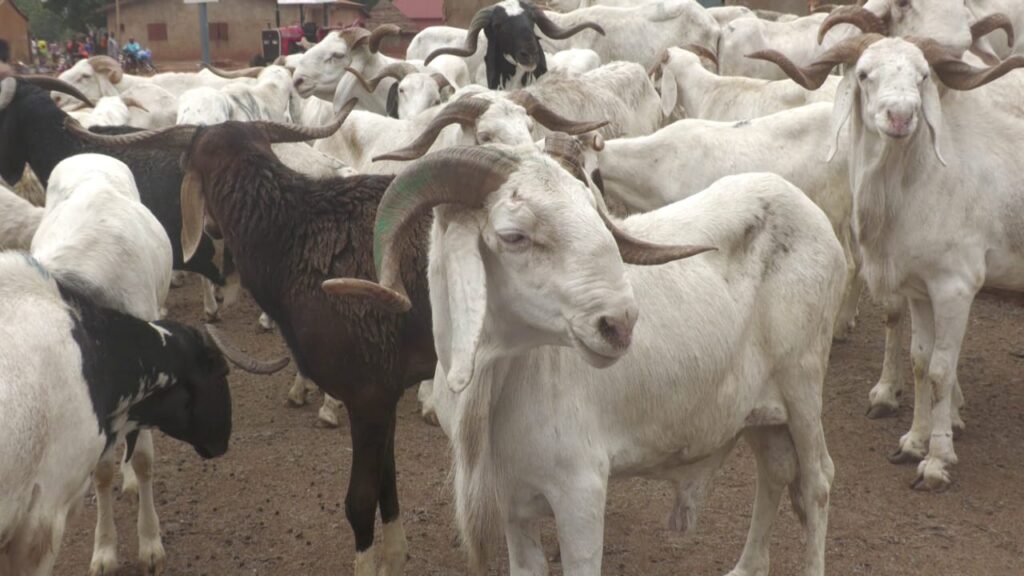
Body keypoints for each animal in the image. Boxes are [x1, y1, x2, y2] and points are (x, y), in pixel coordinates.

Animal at [70, 112, 434, 576]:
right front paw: (396, 556)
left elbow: (360, 501)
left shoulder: (367, 393)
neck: (295, 236)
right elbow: (388, 485)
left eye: (187, 164)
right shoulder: (385, 391)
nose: (209, 228)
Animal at [321, 143, 844, 576]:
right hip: (757, 411)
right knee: (775, 471)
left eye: (594, 214)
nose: (620, 324)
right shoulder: (514, 503)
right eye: (514, 236)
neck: (502, 386)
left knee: (817, 481)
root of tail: (807, 211)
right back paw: (746, 567)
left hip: (803, 385)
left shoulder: (581, 495)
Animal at [751, 34, 1024, 490]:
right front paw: (913, 442)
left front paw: (936, 462)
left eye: (923, 75)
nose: (900, 116)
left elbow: (941, 371)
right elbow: (920, 362)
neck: (925, 178)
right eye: (864, 74)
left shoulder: (956, 286)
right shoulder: (920, 288)